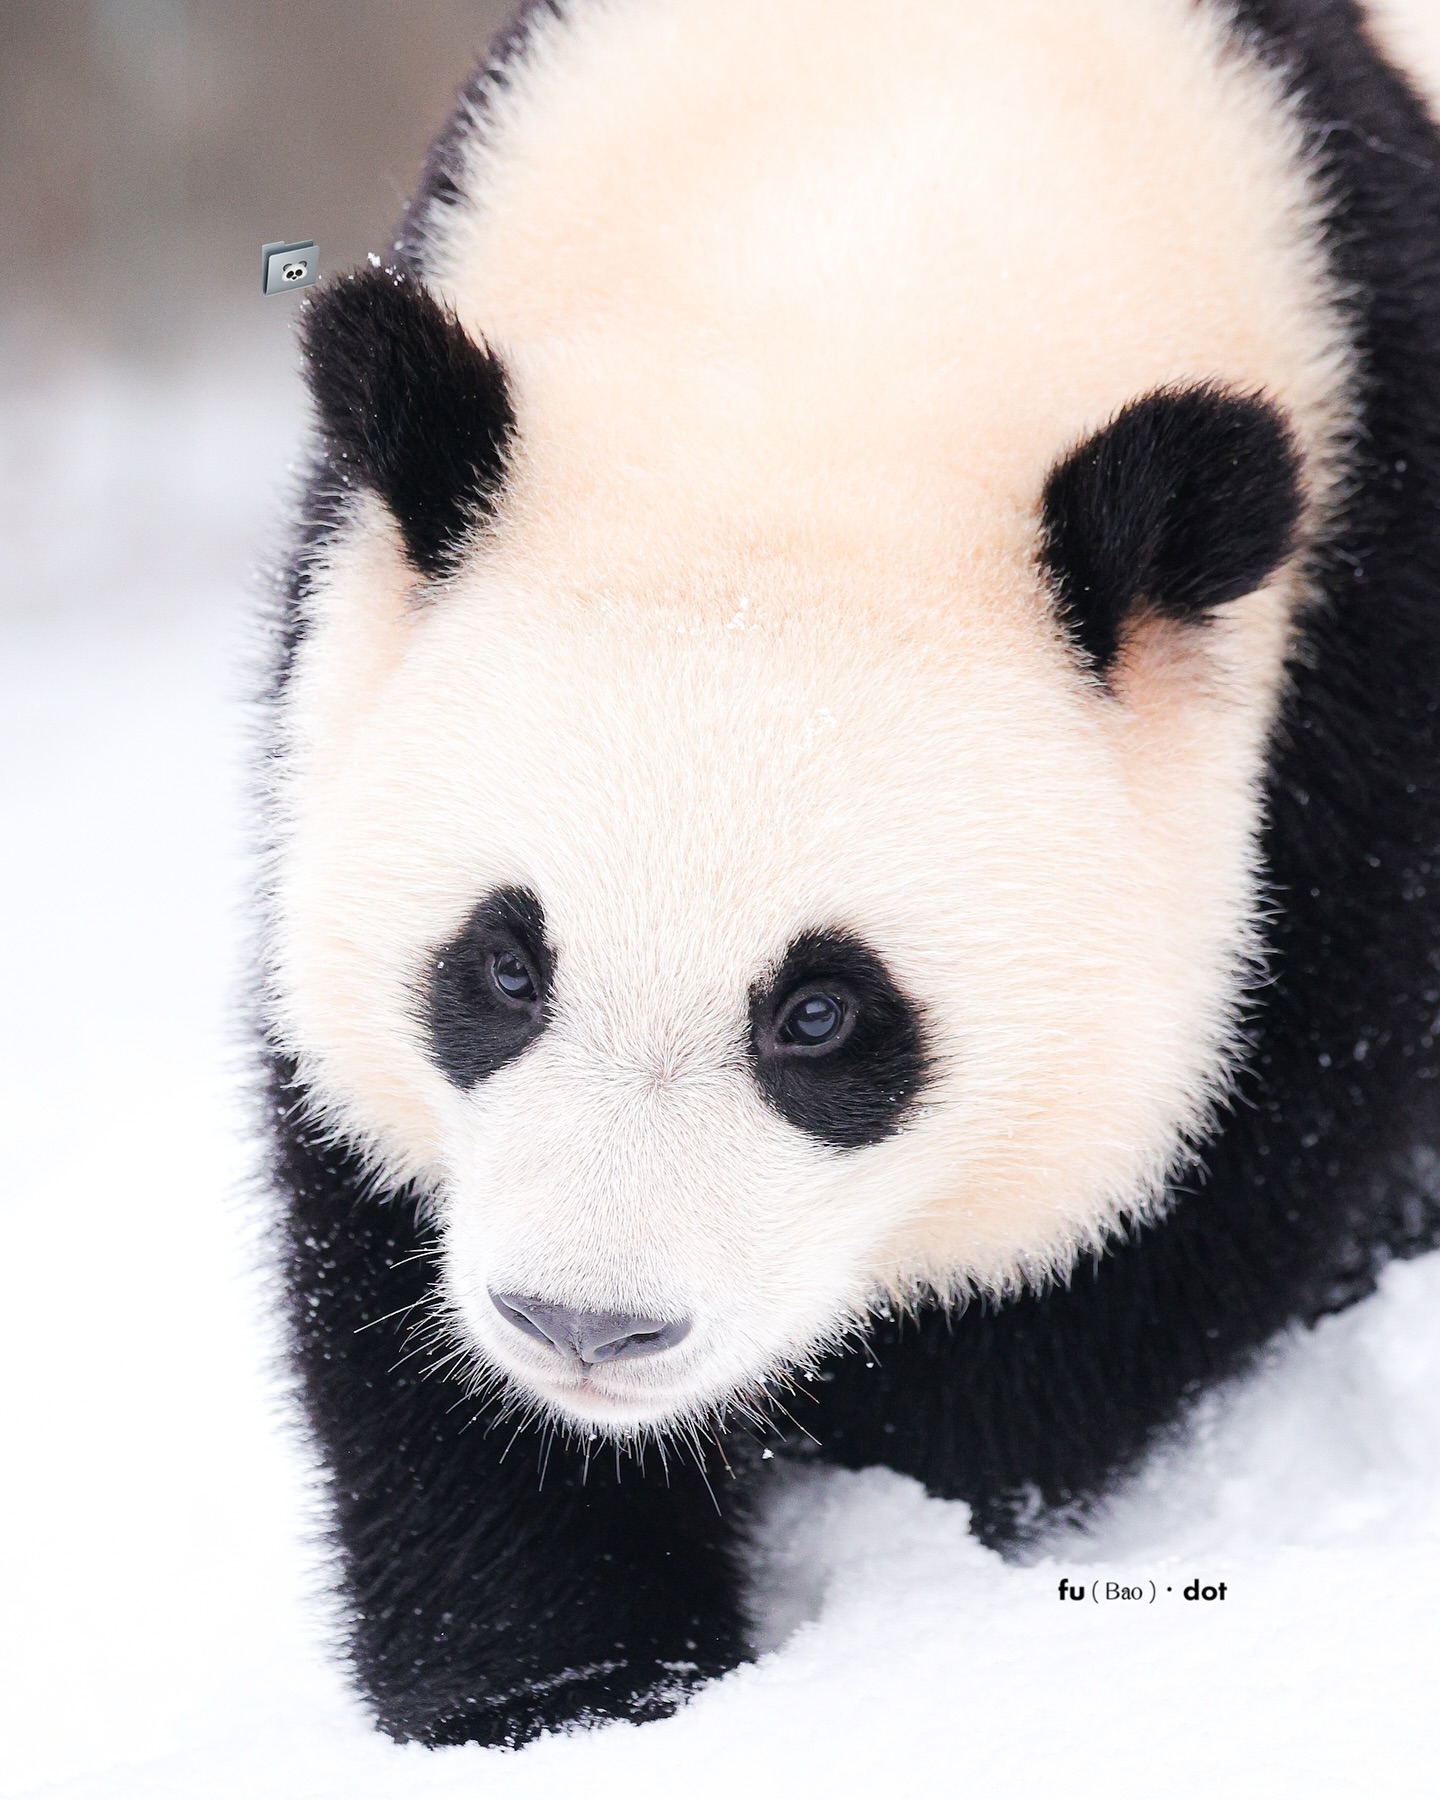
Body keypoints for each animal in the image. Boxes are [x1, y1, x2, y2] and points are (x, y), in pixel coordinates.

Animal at [264, 0, 1440, 1756]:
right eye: (502, 967)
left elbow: (1202, 1190)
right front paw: (564, 1689)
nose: (588, 1328)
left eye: (822, 1017)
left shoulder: (1365, 647)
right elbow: (376, 1228)